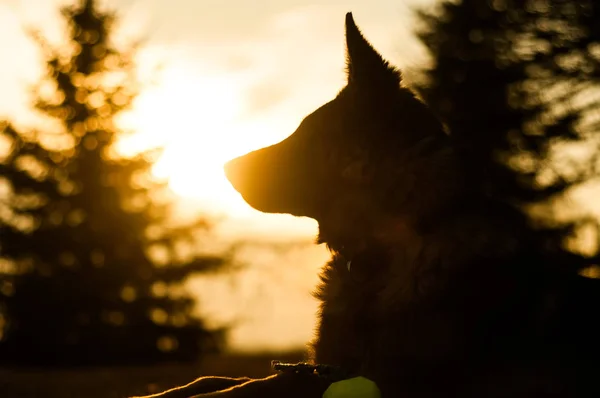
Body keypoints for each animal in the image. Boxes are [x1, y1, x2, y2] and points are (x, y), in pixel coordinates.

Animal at [138, 12, 600, 398]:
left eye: (306, 134)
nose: (226, 167)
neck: (385, 254)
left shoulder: (364, 376)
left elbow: (249, 386)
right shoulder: (320, 367)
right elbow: (216, 378)